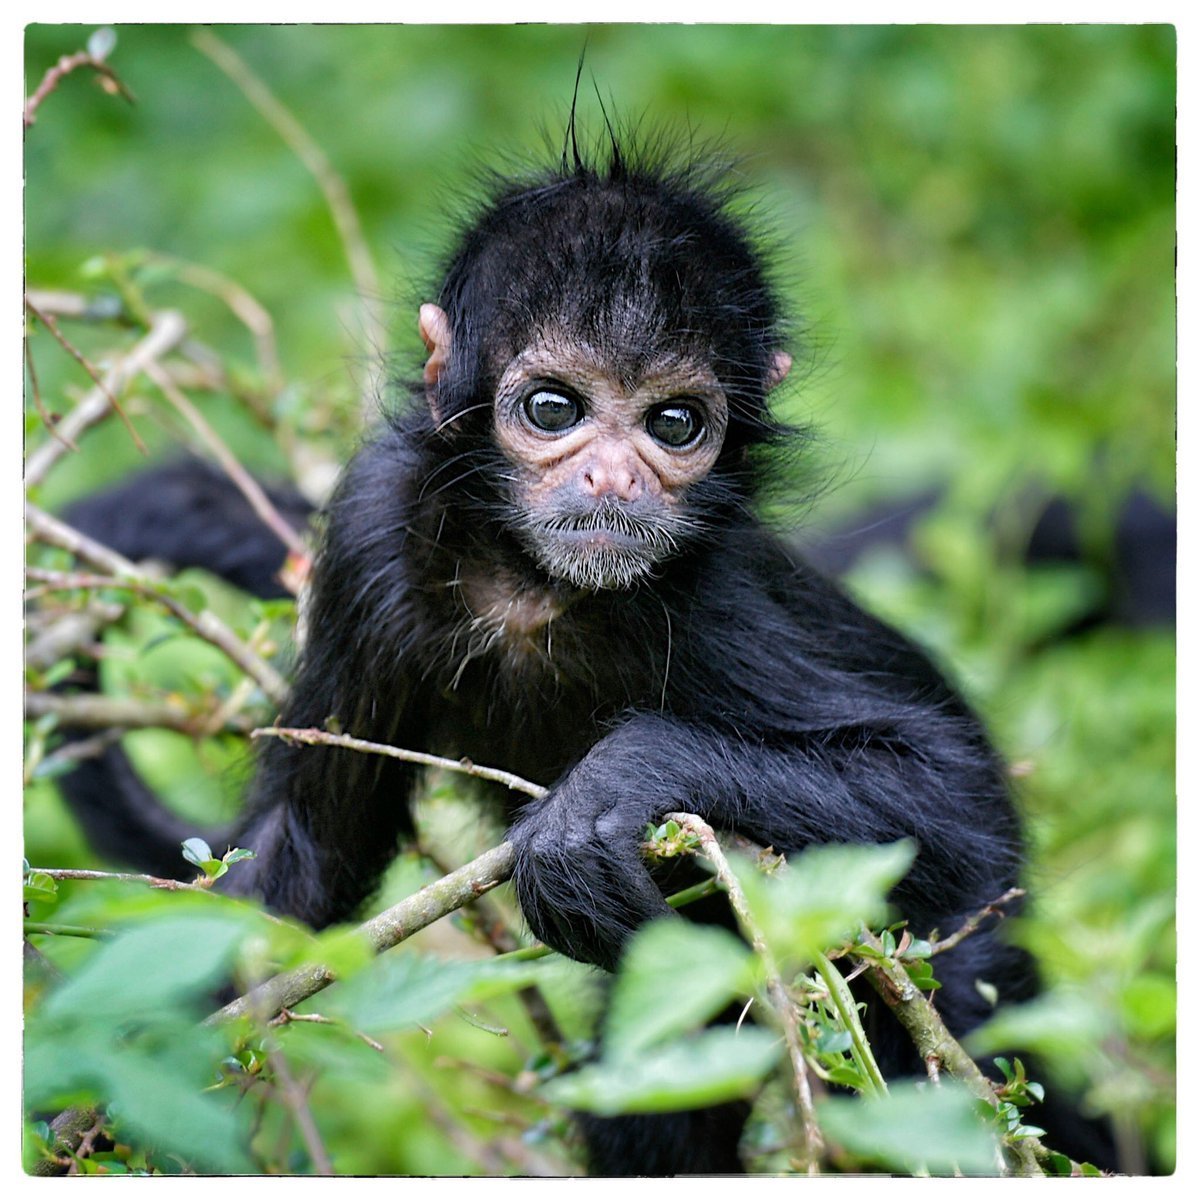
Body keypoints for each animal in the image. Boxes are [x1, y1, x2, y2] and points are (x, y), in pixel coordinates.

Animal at [51, 129, 1115, 1175]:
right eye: (555, 410)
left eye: (674, 423)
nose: (612, 478)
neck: (536, 589)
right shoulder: (369, 530)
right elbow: (299, 864)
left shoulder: (713, 591)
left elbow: (959, 800)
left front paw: (618, 782)